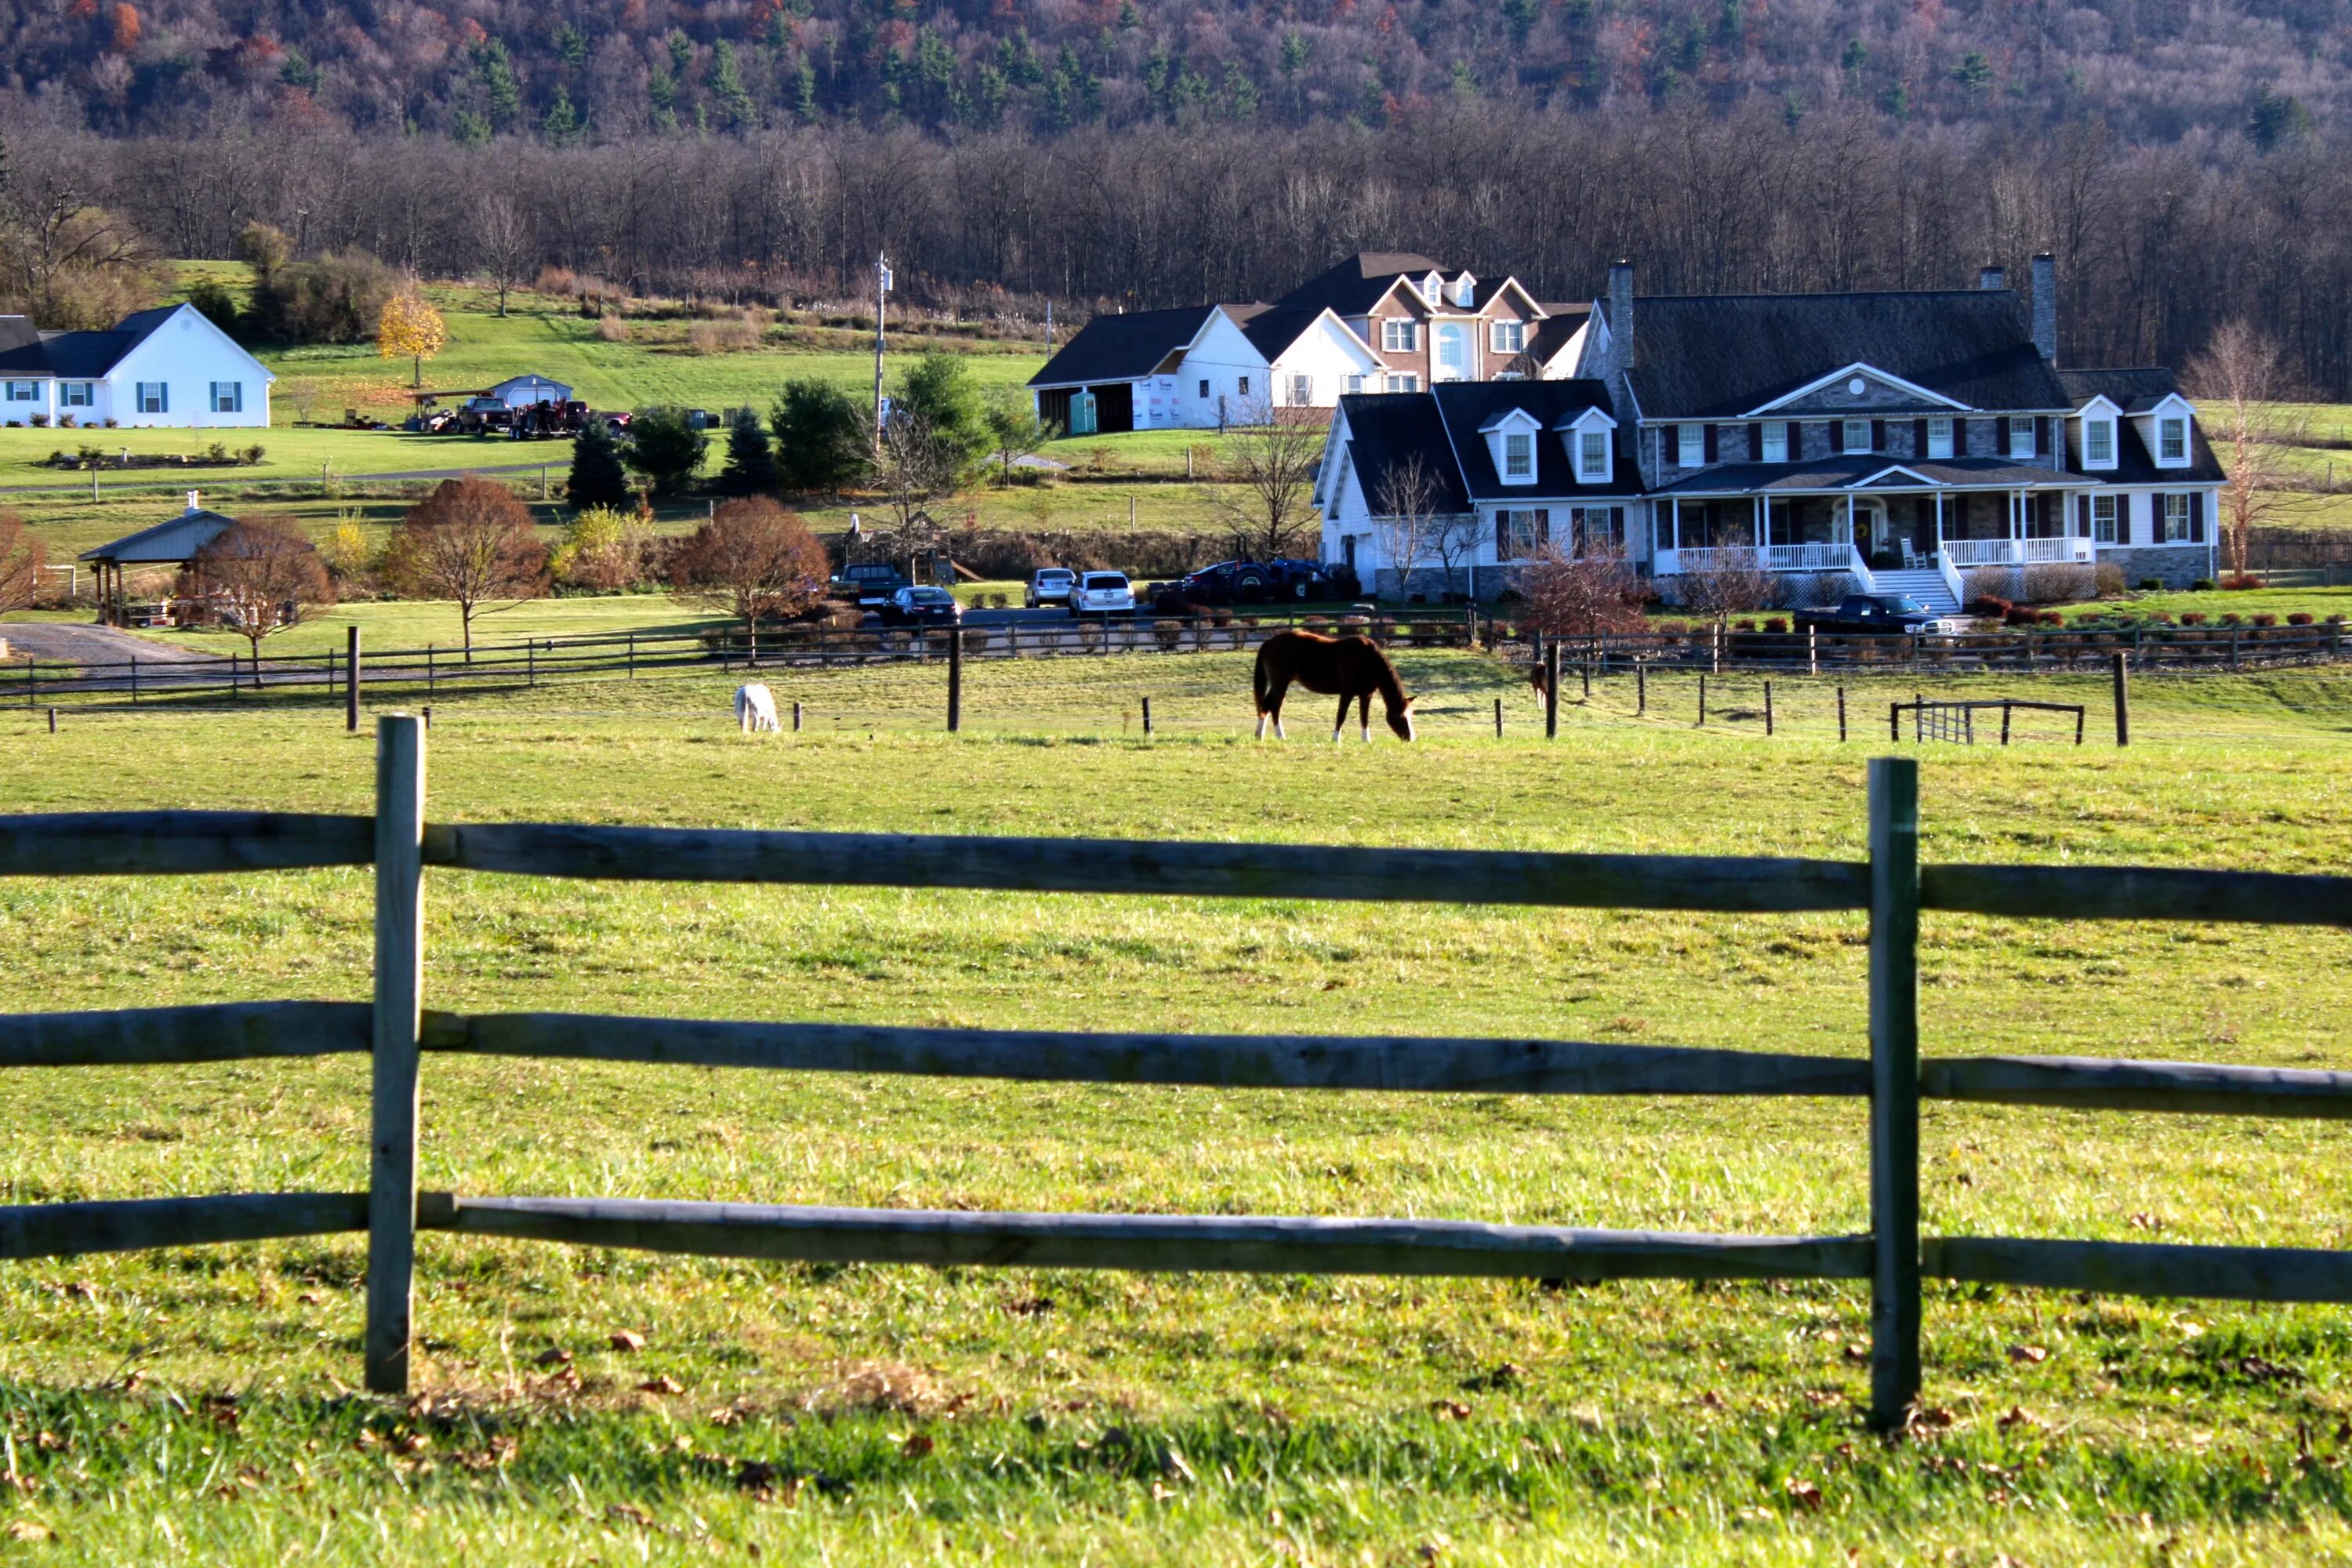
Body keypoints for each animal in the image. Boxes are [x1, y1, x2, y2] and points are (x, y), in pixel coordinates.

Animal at [1251, 630, 1411, 747]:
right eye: (1403, 717)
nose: (1411, 738)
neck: (1368, 660)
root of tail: (1269, 642)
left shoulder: (1366, 695)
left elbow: (1364, 718)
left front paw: (1366, 740)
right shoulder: (1347, 693)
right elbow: (1341, 716)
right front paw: (1336, 739)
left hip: (1277, 685)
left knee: (1265, 706)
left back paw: (1260, 735)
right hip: (1280, 684)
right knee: (1275, 707)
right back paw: (1280, 736)